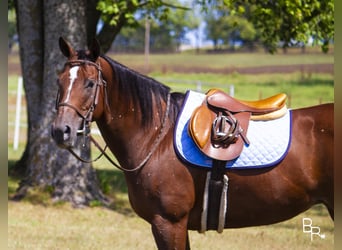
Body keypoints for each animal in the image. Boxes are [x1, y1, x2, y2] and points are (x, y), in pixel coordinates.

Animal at [52, 37, 332, 250]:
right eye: (59, 81)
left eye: (90, 83)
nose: (60, 131)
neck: (158, 138)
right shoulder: (176, 225)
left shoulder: (168, 223)